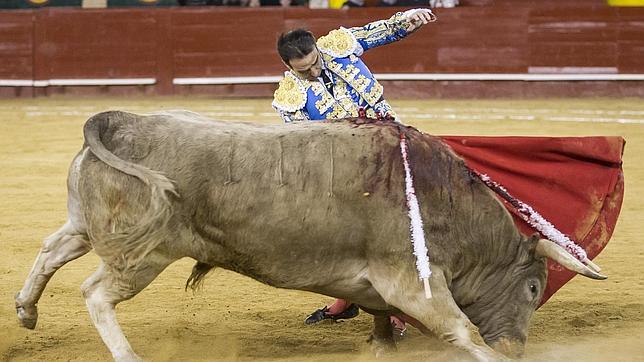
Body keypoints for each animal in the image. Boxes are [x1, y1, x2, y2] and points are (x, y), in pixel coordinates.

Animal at [16, 111, 608, 362]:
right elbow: (458, 329)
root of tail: (116, 121)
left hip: (91, 225)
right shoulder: (411, 279)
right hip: (145, 252)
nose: (516, 348)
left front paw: (382, 346)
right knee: (95, 292)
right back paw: (128, 356)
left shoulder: (377, 282)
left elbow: (380, 316)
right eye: (533, 288)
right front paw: (490, 356)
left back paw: (26, 311)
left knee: (53, 248)